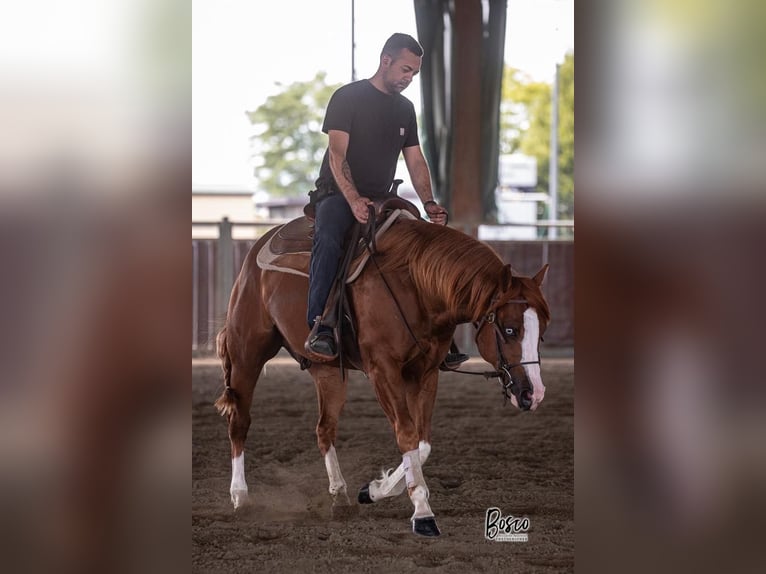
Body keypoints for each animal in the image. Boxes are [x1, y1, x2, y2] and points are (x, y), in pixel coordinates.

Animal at [216, 216, 552, 536]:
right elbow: (406, 434)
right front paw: (422, 511)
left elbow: (422, 443)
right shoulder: (383, 370)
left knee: (325, 429)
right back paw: (241, 498)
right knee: (240, 422)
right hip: (248, 353)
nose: (533, 394)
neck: (417, 286)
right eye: (510, 329)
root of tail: (255, 255)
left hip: (327, 370)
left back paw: (340, 495)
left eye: (542, 331)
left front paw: (374, 490)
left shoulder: (426, 373)